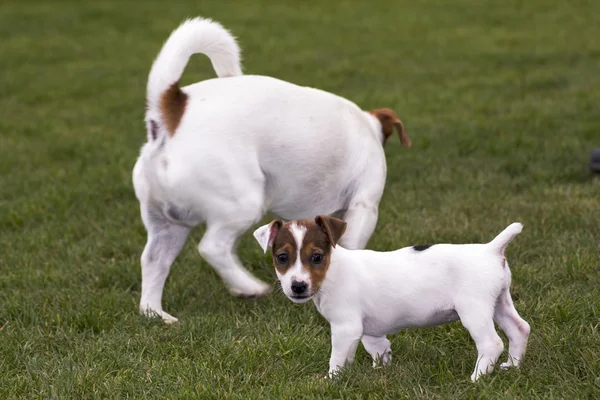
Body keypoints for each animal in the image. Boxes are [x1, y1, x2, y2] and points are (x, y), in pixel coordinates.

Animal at [133, 17, 410, 322]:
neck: (367, 127)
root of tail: (169, 112)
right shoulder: (364, 206)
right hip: (243, 203)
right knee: (211, 247)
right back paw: (249, 287)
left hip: (168, 224)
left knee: (154, 260)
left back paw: (156, 314)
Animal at [253, 217, 528, 380]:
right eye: (282, 257)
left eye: (317, 257)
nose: (297, 286)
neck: (333, 271)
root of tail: (490, 249)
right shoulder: (367, 330)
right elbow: (377, 348)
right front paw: (379, 370)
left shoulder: (345, 327)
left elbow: (337, 359)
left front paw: (331, 381)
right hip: (500, 303)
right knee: (520, 329)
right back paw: (513, 366)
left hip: (474, 310)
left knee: (492, 343)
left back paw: (477, 377)